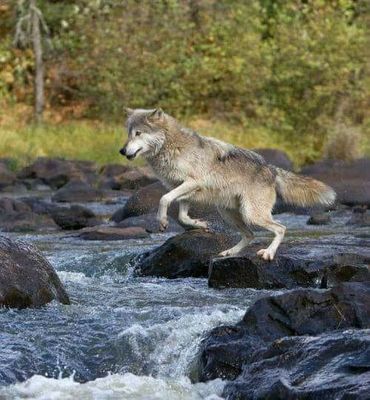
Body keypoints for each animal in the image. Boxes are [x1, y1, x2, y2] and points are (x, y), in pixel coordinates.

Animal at [119, 108, 336, 260]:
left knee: (280, 228)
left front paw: (163, 221)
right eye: (128, 133)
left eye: (138, 133)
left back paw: (268, 253)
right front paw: (199, 224)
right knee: (250, 235)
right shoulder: (183, 189)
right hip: (228, 214)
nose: (121, 151)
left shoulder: (191, 182)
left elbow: (164, 199)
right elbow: (182, 215)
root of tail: (271, 169)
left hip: (251, 214)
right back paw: (229, 252)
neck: (171, 147)